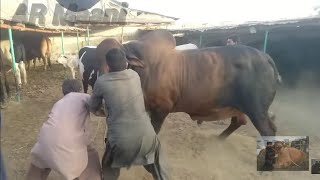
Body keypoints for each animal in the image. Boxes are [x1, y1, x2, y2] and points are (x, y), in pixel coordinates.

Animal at [97, 29, 280, 138]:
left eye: (117, 61)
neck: (144, 70)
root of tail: (265, 56)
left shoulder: (162, 108)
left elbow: (154, 131)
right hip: (239, 106)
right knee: (239, 121)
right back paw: (219, 139)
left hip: (256, 109)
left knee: (268, 131)